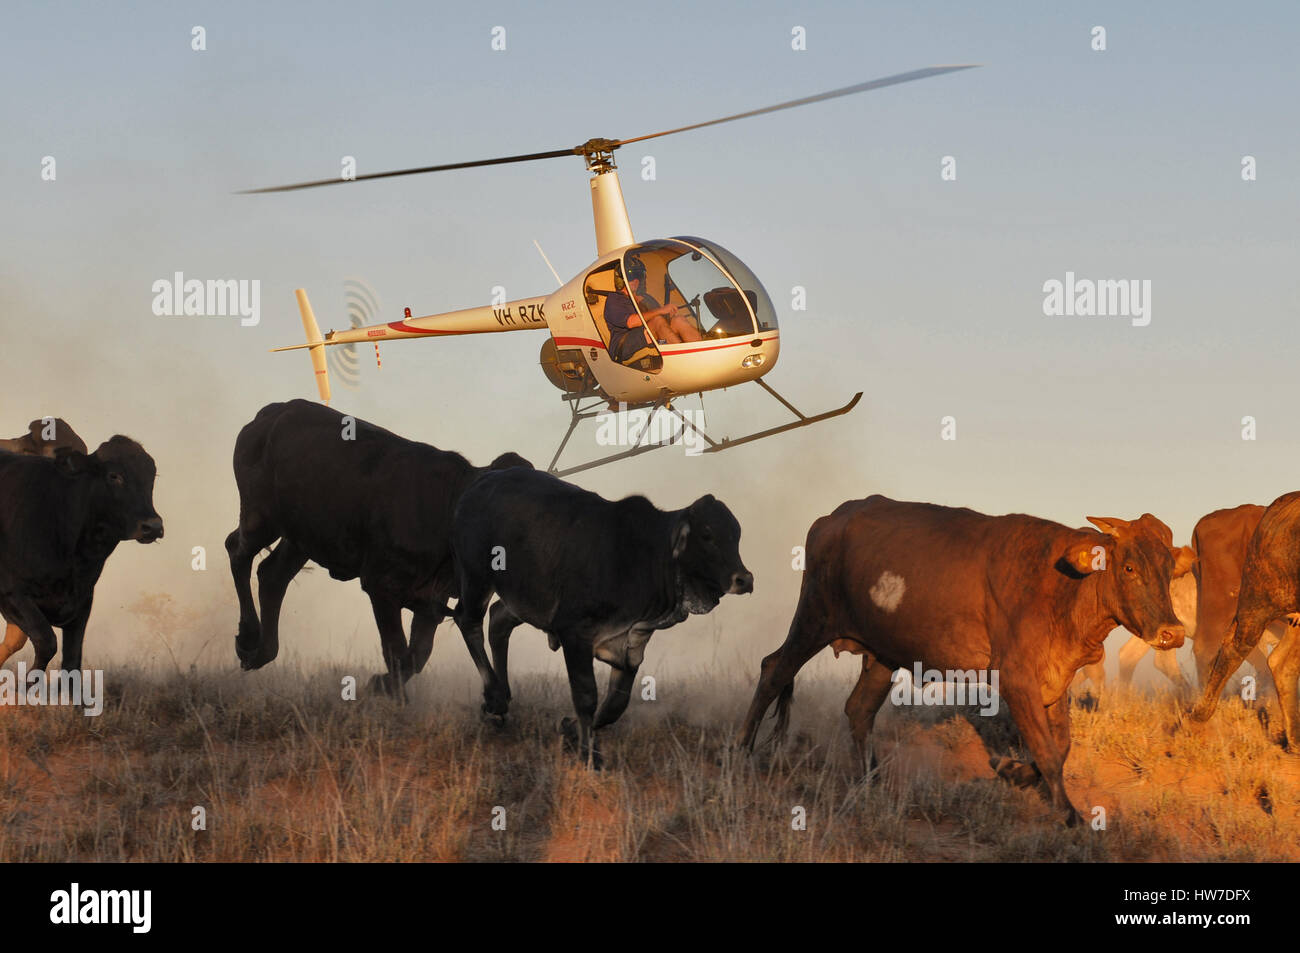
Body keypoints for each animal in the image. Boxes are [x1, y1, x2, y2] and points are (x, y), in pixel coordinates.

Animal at [225, 400, 532, 703]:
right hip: (260, 517)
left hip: (300, 538)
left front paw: (381, 686)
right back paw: (248, 637)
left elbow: (417, 655)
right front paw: (387, 693)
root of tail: (274, 411)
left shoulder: (432, 600)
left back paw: (260, 651)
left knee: (271, 575)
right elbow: (397, 651)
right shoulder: (381, 585)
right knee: (237, 551)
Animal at [449, 467, 753, 766]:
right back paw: (495, 697)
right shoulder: (574, 634)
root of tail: (483, 481)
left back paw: (502, 701)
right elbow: (587, 696)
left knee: (498, 620)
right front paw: (590, 755)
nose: (745, 579)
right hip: (477, 578)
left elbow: (614, 706)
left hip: (522, 598)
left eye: (737, 535)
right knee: (468, 621)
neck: (646, 558)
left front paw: (569, 729)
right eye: (707, 535)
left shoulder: (632, 646)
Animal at [737, 496, 1189, 826]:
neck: (1063, 587)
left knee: (859, 708)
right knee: (774, 670)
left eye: (1169, 569)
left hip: (881, 654)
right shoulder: (1016, 679)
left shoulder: (1054, 681)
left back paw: (873, 780)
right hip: (813, 619)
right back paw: (741, 751)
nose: (1172, 632)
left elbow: (1059, 748)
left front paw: (1012, 771)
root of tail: (832, 518)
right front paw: (1069, 815)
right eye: (1128, 567)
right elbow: (1046, 749)